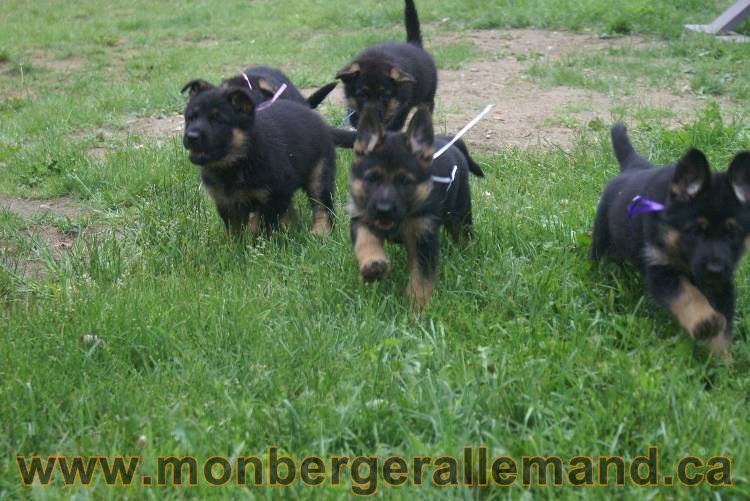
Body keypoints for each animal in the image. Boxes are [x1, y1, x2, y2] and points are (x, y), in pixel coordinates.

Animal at [181, 78, 336, 238]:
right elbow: (235, 228)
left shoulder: (276, 194)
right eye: (191, 118)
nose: (191, 137)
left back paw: (320, 231)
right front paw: (235, 243)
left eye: (218, 121)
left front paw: (252, 239)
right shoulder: (226, 201)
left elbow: (258, 223)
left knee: (322, 204)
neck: (237, 161)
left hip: (319, 172)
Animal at [336, 0, 438, 131]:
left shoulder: (401, 106)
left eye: (384, 95)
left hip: (427, 98)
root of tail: (414, 44)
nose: (373, 117)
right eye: (362, 95)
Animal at [348, 105, 484, 304]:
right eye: (372, 178)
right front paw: (373, 265)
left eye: (404, 181)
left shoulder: (423, 238)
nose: (383, 210)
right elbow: (365, 240)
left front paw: (417, 306)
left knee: (464, 234)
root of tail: (449, 141)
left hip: (460, 212)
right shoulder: (361, 217)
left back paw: (467, 254)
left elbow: (421, 277)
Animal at [592, 125, 750, 360]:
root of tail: (632, 167)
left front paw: (721, 359)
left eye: (732, 235)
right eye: (695, 232)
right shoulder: (661, 268)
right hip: (601, 236)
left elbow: (724, 323)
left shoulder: (722, 282)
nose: (714, 270)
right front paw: (705, 321)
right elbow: (687, 295)